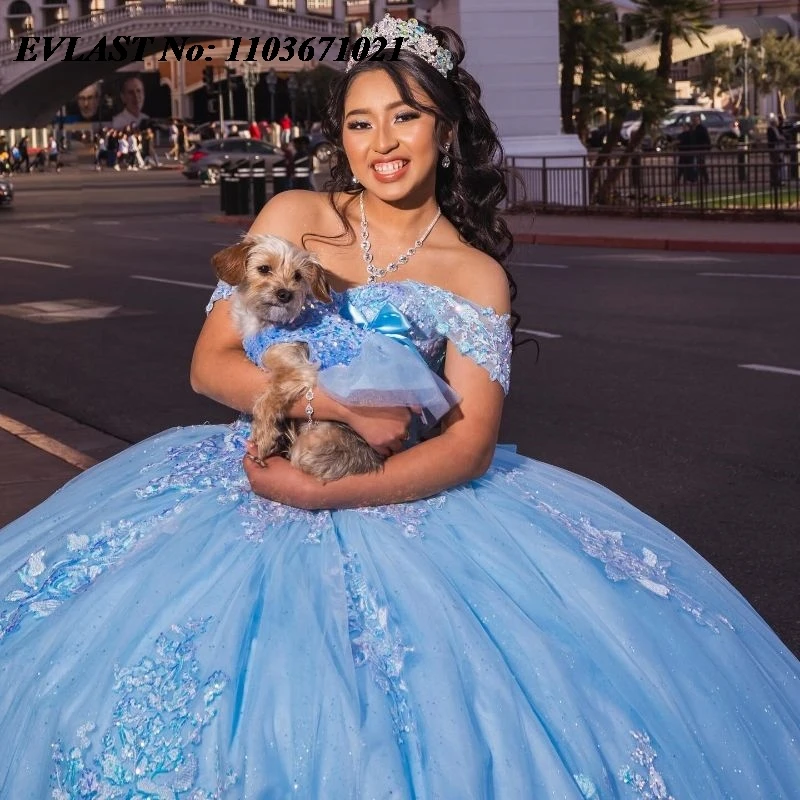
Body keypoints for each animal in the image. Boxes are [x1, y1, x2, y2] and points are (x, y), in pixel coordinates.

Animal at [211, 231, 386, 482]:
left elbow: (266, 401)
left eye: (298, 276)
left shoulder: (296, 371)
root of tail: (373, 461)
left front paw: (264, 437)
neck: (268, 322)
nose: (285, 294)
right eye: (264, 269)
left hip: (311, 442)